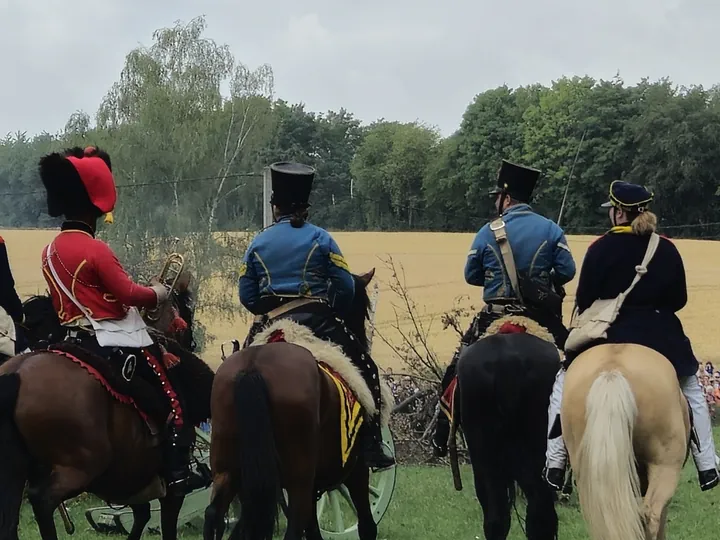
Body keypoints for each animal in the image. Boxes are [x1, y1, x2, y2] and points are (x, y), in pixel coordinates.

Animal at [0, 274, 214, 540]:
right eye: (186, 312)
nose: (192, 342)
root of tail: (17, 373)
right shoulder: (169, 489)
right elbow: (166, 524)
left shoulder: (129, 479)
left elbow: (141, 514)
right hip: (79, 467)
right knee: (42, 500)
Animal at [202, 270, 394, 540]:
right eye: (363, 310)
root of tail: (253, 367)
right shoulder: (355, 471)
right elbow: (366, 524)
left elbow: (313, 528)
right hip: (298, 479)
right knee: (295, 524)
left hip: (227, 470)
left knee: (214, 514)